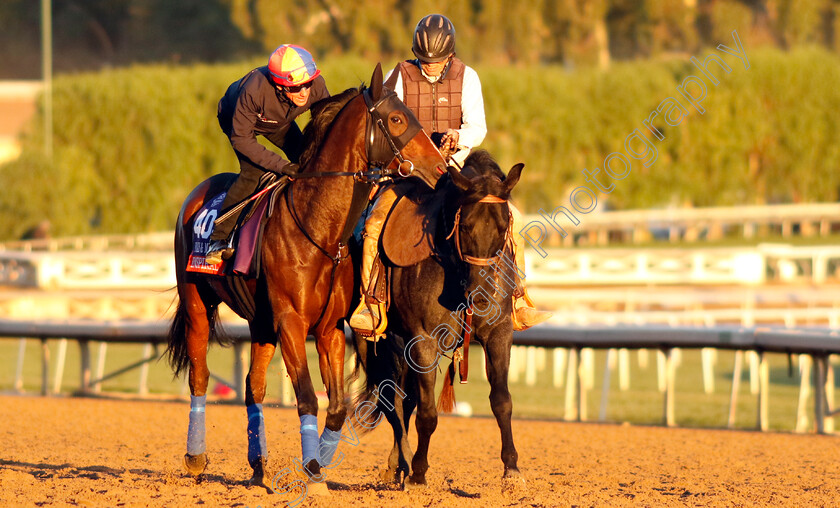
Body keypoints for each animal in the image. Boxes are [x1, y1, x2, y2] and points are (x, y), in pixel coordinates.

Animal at [167, 65, 450, 486]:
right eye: (398, 119)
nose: (441, 168)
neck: (318, 229)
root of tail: (197, 194)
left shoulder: (329, 328)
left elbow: (336, 406)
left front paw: (321, 465)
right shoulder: (292, 322)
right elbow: (304, 397)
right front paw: (314, 471)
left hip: (260, 322)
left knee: (254, 387)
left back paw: (258, 465)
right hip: (198, 305)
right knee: (199, 375)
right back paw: (196, 456)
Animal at [354, 153, 524, 490]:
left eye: (503, 226)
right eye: (466, 226)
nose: (481, 295)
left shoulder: (499, 334)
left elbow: (502, 401)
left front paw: (511, 469)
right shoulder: (424, 340)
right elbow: (427, 413)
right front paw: (419, 472)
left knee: (403, 401)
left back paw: (396, 464)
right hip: (374, 344)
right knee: (392, 401)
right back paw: (404, 463)